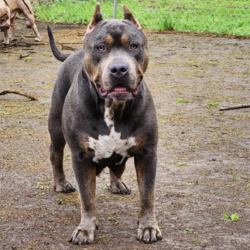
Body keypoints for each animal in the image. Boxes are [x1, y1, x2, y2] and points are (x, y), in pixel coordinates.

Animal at [48, 3, 162, 245]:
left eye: (134, 45)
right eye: (100, 47)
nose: (119, 68)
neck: (113, 108)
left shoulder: (147, 153)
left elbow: (147, 194)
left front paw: (148, 226)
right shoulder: (81, 157)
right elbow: (87, 198)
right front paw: (86, 228)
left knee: (115, 164)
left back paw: (116, 183)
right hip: (56, 127)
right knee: (55, 153)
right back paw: (61, 183)